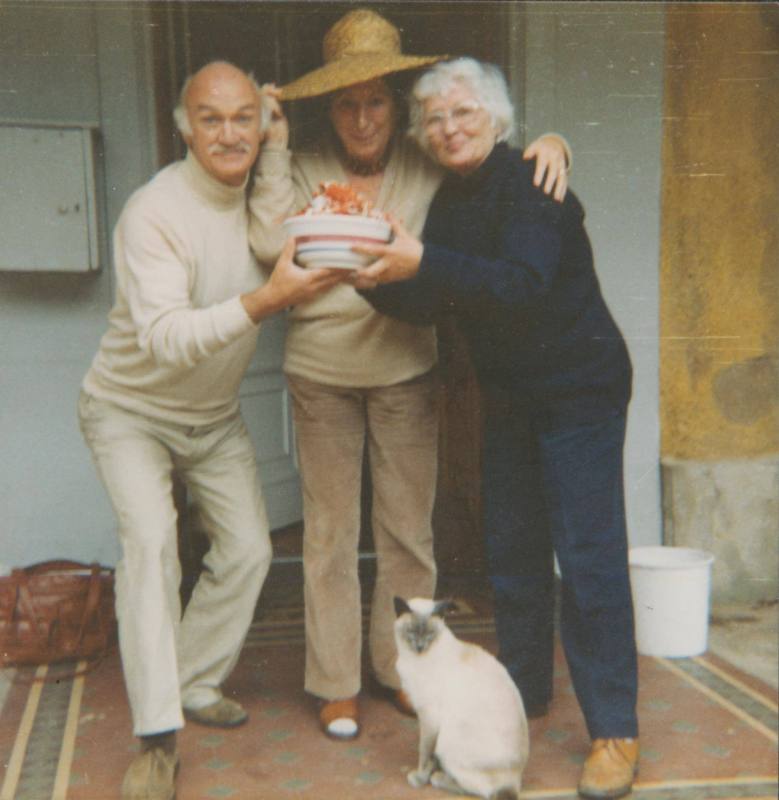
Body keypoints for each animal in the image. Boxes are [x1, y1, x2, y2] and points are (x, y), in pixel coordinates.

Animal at [396, 596, 532, 796]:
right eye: (411, 632)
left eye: (430, 634)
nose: (420, 647)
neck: (414, 658)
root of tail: (515, 781)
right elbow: (430, 756)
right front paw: (428, 771)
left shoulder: (428, 715)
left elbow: (424, 751)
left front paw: (420, 778)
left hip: (447, 740)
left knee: (480, 791)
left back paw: (438, 778)